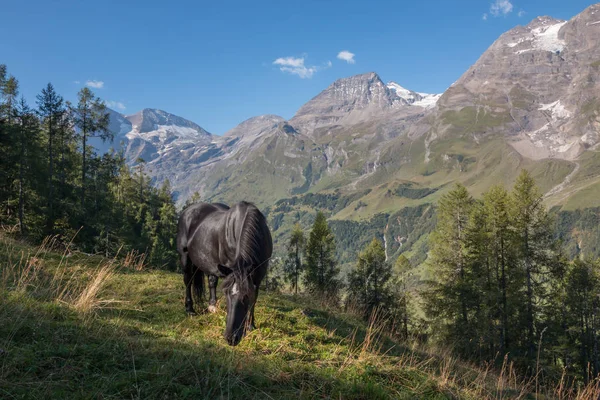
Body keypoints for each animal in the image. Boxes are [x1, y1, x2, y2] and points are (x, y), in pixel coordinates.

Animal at [177, 202, 274, 346]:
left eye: (245, 297)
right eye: (226, 295)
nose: (230, 338)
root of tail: (188, 210)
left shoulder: (258, 276)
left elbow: (254, 299)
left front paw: (251, 325)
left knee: (212, 280)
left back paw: (212, 306)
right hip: (185, 258)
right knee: (188, 281)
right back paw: (190, 309)